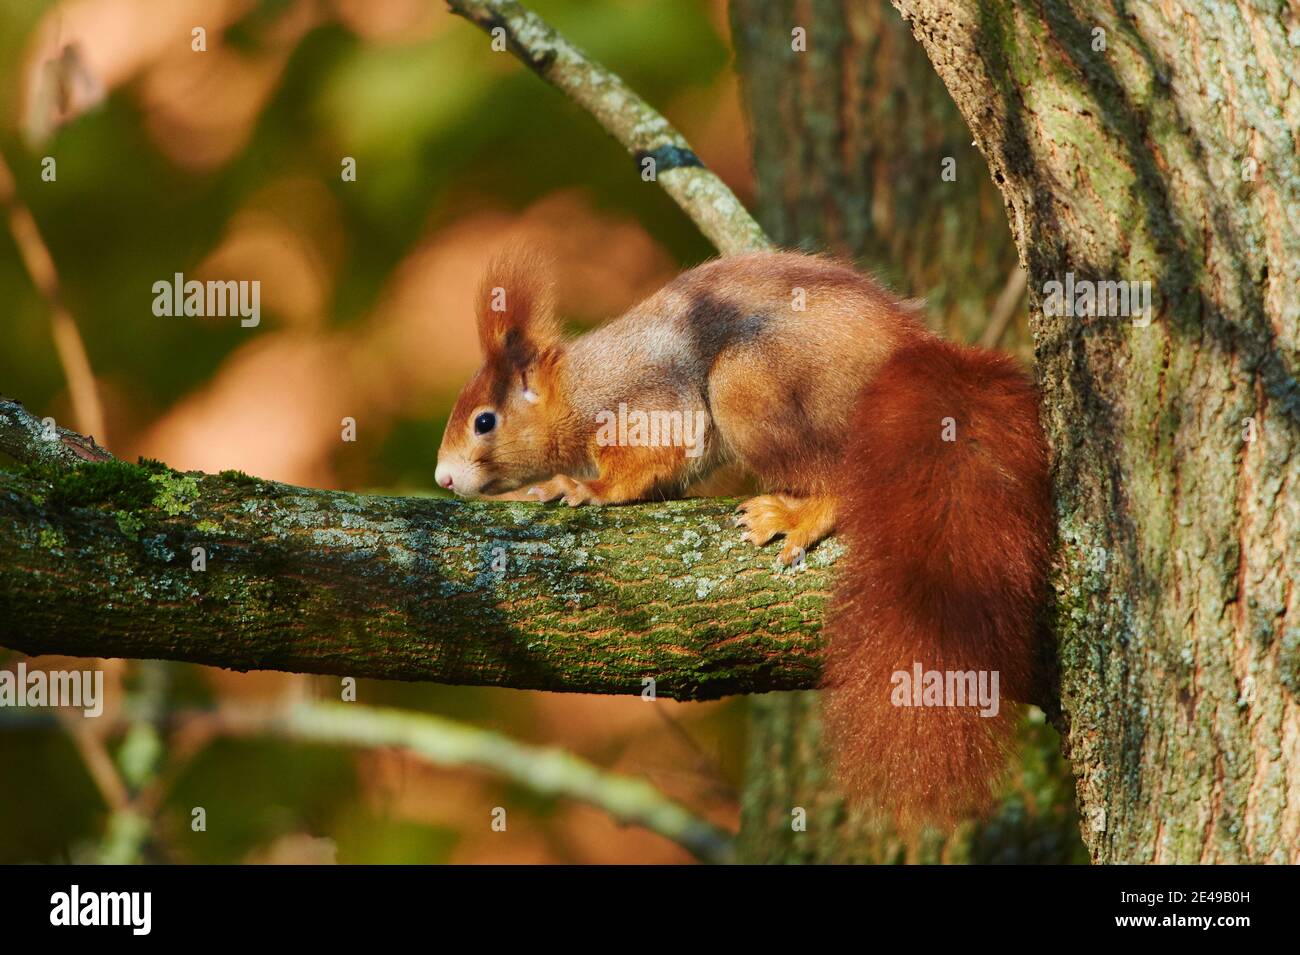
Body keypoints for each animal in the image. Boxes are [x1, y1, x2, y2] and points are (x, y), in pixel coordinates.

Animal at [436, 250, 1055, 826]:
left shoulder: (651, 402)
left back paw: (801, 514)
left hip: (753, 385)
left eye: (485, 421)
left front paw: (586, 488)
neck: (578, 389)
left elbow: (647, 461)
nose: (442, 477)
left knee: (841, 477)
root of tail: (910, 355)